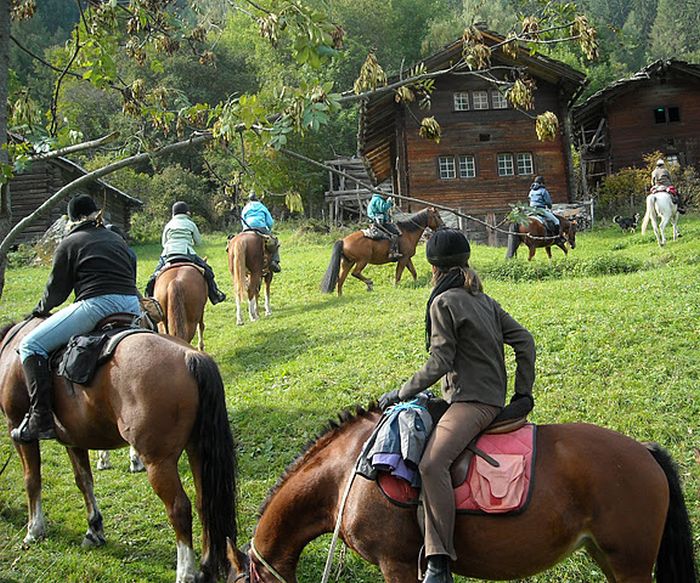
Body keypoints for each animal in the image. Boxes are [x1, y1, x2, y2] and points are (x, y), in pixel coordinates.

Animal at [0, 320, 238, 583]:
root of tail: (190, 356)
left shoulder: (16, 426)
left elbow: (32, 480)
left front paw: (34, 529)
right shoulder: (74, 440)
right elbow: (84, 481)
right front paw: (94, 529)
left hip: (159, 462)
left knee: (179, 509)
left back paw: (186, 572)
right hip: (197, 450)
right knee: (204, 502)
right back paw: (206, 567)